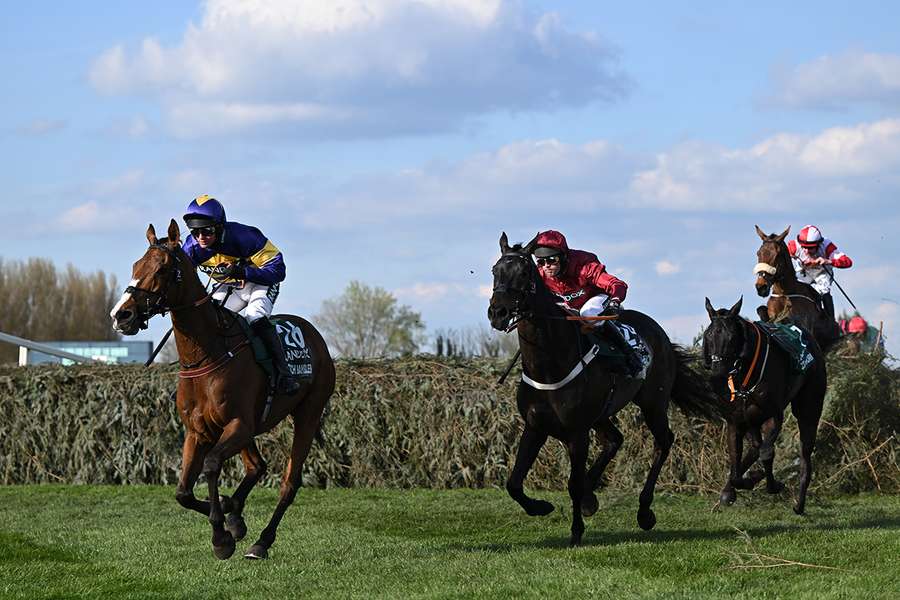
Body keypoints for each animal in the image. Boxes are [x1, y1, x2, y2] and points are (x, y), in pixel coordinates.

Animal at [111, 223, 336, 560]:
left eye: (162, 269)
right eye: (135, 266)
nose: (121, 315)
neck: (208, 354)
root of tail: (314, 334)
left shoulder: (238, 424)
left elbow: (212, 465)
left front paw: (222, 535)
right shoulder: (198, 430)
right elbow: (182, 493)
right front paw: (232, 520)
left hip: (308, 413)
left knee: (289, 482)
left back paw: (261, 542)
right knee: (257, 466)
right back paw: (238, 514)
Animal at [488, 232, 720, 548]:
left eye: (524, 273)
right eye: (494, 271)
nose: (497, 312)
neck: (549, 365)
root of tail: (658, 330)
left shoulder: (577, 432)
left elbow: (572, 484)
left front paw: (576, 532)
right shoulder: (535, 426)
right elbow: (513, 483)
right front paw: (542, 507)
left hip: (653, 401)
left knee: (663, 441)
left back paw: (644, 511)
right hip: (601, 414)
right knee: (615, 439)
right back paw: (591, 498)